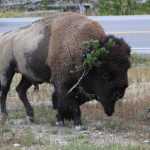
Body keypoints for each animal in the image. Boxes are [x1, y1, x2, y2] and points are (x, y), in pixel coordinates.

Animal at [0, 12, 131, 127]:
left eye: (127, 68)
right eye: (105, 75)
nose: (120, 93)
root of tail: (5, 37)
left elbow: (66, 102)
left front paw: (62, 119)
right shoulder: (62, 84)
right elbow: (68, 102)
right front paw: (75, 123)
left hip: (27, 76)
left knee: (20, 90)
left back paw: (30, 116)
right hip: (6, 72)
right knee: (4, 91)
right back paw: (5, 115)